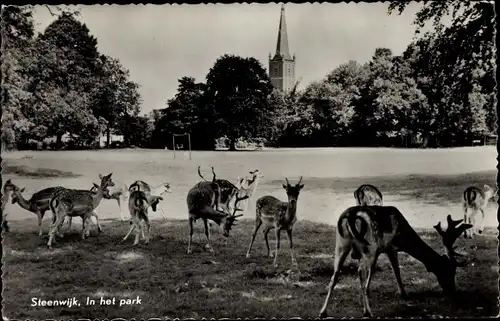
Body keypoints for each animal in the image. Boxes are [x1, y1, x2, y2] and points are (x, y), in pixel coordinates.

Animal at [320, 205, 472, 318]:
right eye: (448, 270)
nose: (452, 290)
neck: (403, 237)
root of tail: (351, 216)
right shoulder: (390, 248)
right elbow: (396, 270)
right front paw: (403, 293)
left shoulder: (382, 250)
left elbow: (384, 269)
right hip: (369, 246)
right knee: (360, 274)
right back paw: (368, 312)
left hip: (341, 244)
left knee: (335, 276)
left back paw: (323, 312)